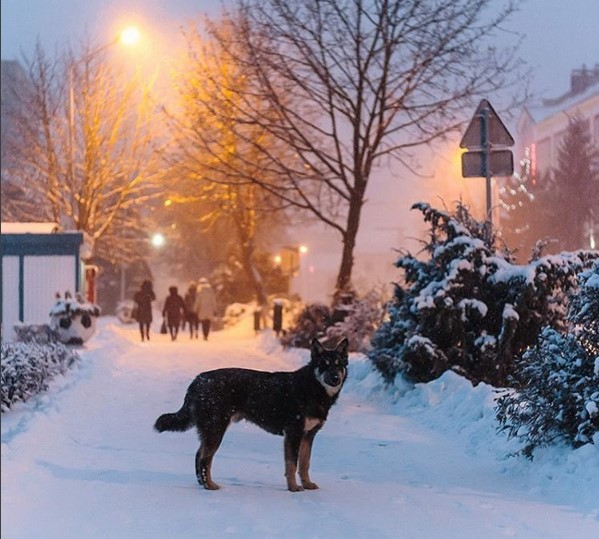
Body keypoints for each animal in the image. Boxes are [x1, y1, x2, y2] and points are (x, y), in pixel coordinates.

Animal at [155, 340, 350, 492]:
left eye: (338, 364)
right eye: (324, 364)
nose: (335, 378)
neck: (312, 388)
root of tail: (198, 380)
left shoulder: (308, 435)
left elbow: (304, 464)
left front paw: (307, 484)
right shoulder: (293, 434)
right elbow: (292, 464)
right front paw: (293, 488)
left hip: (211, 431)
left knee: (198, 456)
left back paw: (202, 484)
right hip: (216, 430)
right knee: (204, 459)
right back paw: (209, 485)